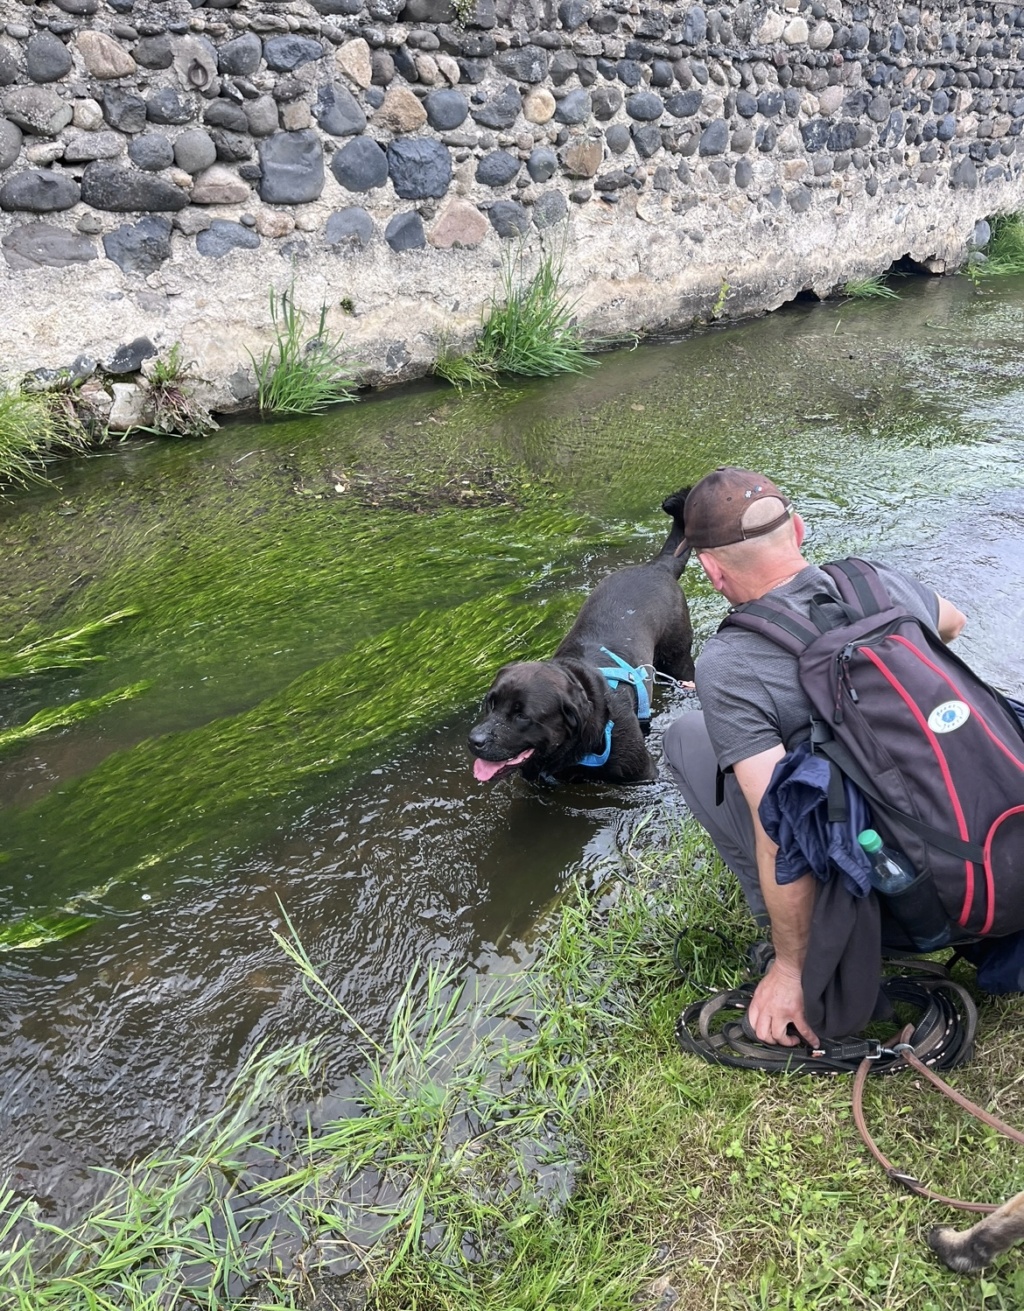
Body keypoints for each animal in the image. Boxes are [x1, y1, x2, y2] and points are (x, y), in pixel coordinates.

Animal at [464, 490, 692, 776]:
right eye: (491, 703)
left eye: (522, 715)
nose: (474, 740)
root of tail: (658, 566)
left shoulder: (643, 772)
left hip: (678, 659)